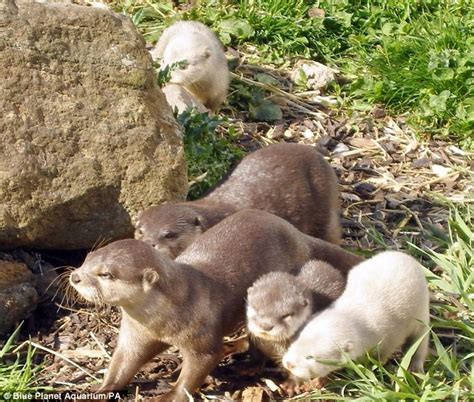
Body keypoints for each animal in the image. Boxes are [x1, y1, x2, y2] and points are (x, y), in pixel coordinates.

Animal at [69, 209, 362, 400]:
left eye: (106, 274)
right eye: (88, 258)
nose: (75, 276)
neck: (163, 320)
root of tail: (295, 233)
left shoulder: (202, 337)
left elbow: (199, 367)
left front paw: (169, 395)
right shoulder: (136, 332)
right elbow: (123, 362)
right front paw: (101, 388)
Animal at [284, 251, 432, 384]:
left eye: (310, 357)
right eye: (296, 340)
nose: (289, 364)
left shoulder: (392, 337)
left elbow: (383, 355)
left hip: (422, 312)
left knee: (421, 342)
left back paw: (415, 369)